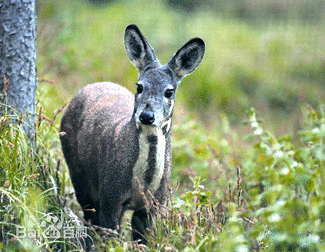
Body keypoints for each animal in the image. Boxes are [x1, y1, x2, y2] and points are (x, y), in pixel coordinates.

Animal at [59, 24, 204, 244]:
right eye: (140, 86)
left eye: (169, 91)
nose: (146, 116)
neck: (142, 184)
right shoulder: (111, 195)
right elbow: (109, 237)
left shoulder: (155, 204)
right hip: (78, 172)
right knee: (89, 218)